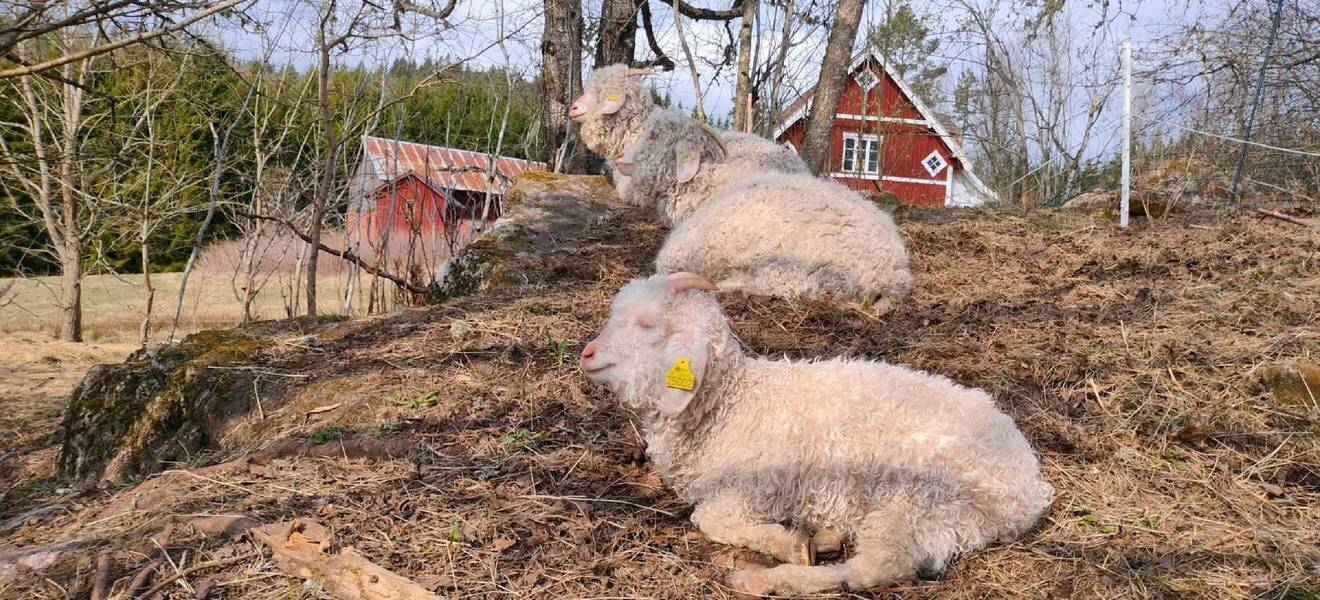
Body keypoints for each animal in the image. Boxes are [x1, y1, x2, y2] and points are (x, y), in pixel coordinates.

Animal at [579, 272, 1055, 595]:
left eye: (646, 325)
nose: (587, 354)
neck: (733, 403)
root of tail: (1028, 488)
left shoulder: (755, 487)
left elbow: (709, 519)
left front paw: (786, 542)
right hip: (945, 518)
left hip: (915, 496)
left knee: (879, 566)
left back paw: (772, 574)